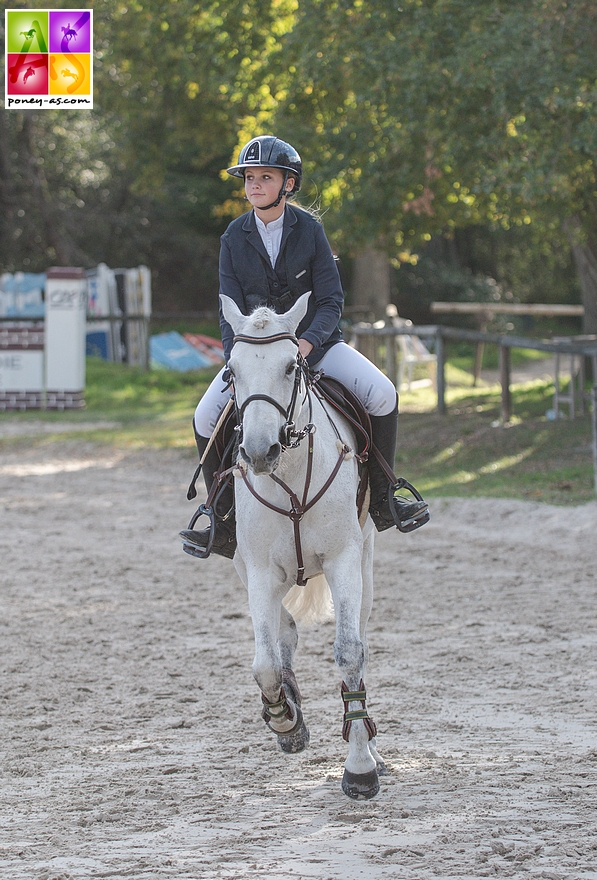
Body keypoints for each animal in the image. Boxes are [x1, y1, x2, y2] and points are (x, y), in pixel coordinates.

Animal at [221, 294, 384, 796]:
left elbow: (350, 653)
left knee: (359, 635)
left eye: (292, 365)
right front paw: (285, 721)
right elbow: (265, 664)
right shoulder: (258, 571)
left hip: (365, 560)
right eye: (231, 370)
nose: (259, 453)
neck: (290, 474)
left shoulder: (343, 560)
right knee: (283, 635)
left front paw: (360, 767)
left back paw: (372, 747)